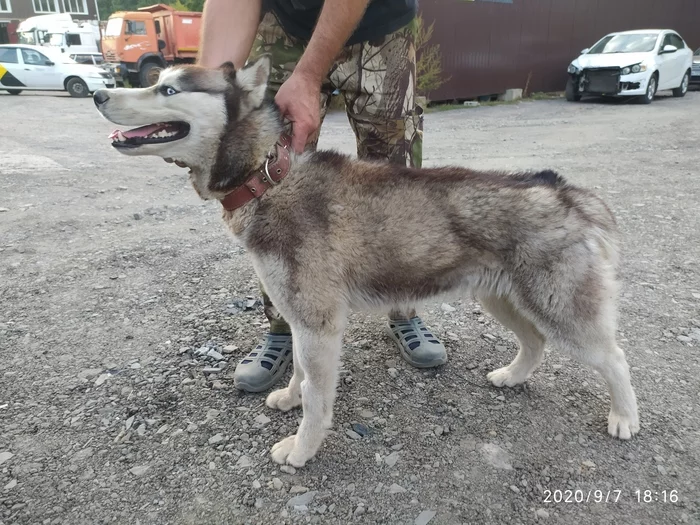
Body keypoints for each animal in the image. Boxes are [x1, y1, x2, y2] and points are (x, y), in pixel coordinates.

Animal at [93, 56, 640, 466]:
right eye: (156, 81)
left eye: (168, 89)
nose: (98, 94)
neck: (268, 179)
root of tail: (568, 192)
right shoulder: (299, 319)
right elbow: (299, 374)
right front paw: (290, 395)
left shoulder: (319, 325)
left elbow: (318, 402)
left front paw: (301, 449)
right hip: (502, 299)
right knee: (535, 341)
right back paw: (513, 376)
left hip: (560, 309)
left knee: (614, 357)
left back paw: (625, 417)